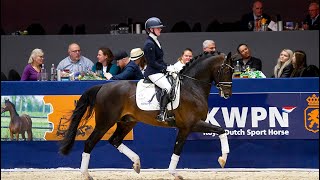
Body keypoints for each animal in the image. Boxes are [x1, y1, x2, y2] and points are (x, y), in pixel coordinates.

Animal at [59, 51, 232, 179]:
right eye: (225, 70)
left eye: (232, 71)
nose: (228, 94)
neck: (192, 87)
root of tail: (102, 86)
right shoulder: (191, 125)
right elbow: (219, 131)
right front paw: (223, 159)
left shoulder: (187, 127)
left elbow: (216, 132)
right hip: (105, 123)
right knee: (89, 143)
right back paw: (86, 174)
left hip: (127, 122)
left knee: (115, 140)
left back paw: (136, 163)